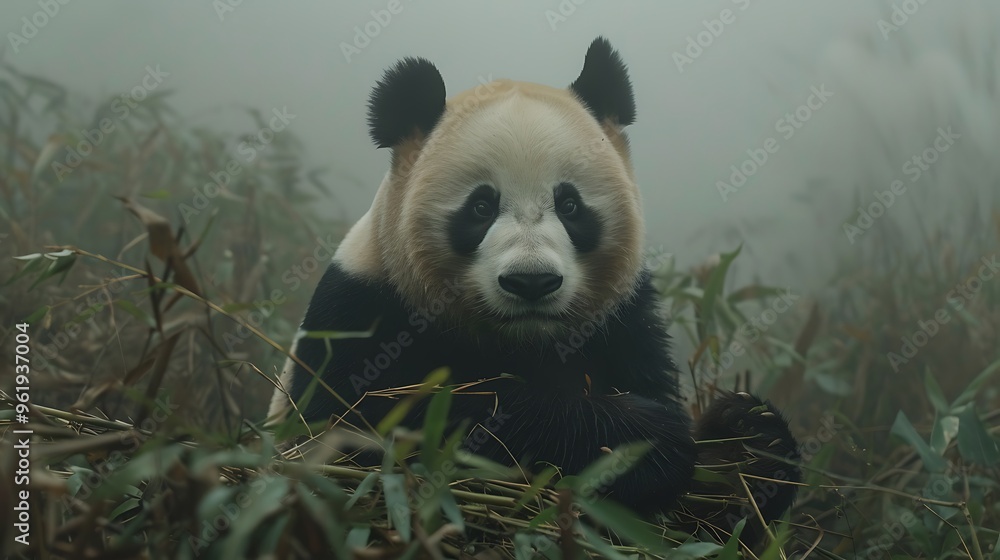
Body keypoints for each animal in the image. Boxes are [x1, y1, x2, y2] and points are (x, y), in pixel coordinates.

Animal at [268, 37, 800, 546]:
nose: (531, 282)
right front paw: (641, 440)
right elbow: (378, 425)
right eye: (481, 206)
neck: (524, 340)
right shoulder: (362, 312)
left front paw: (747, 440)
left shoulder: (624, 320)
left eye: (570, 204)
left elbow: (706, 517)